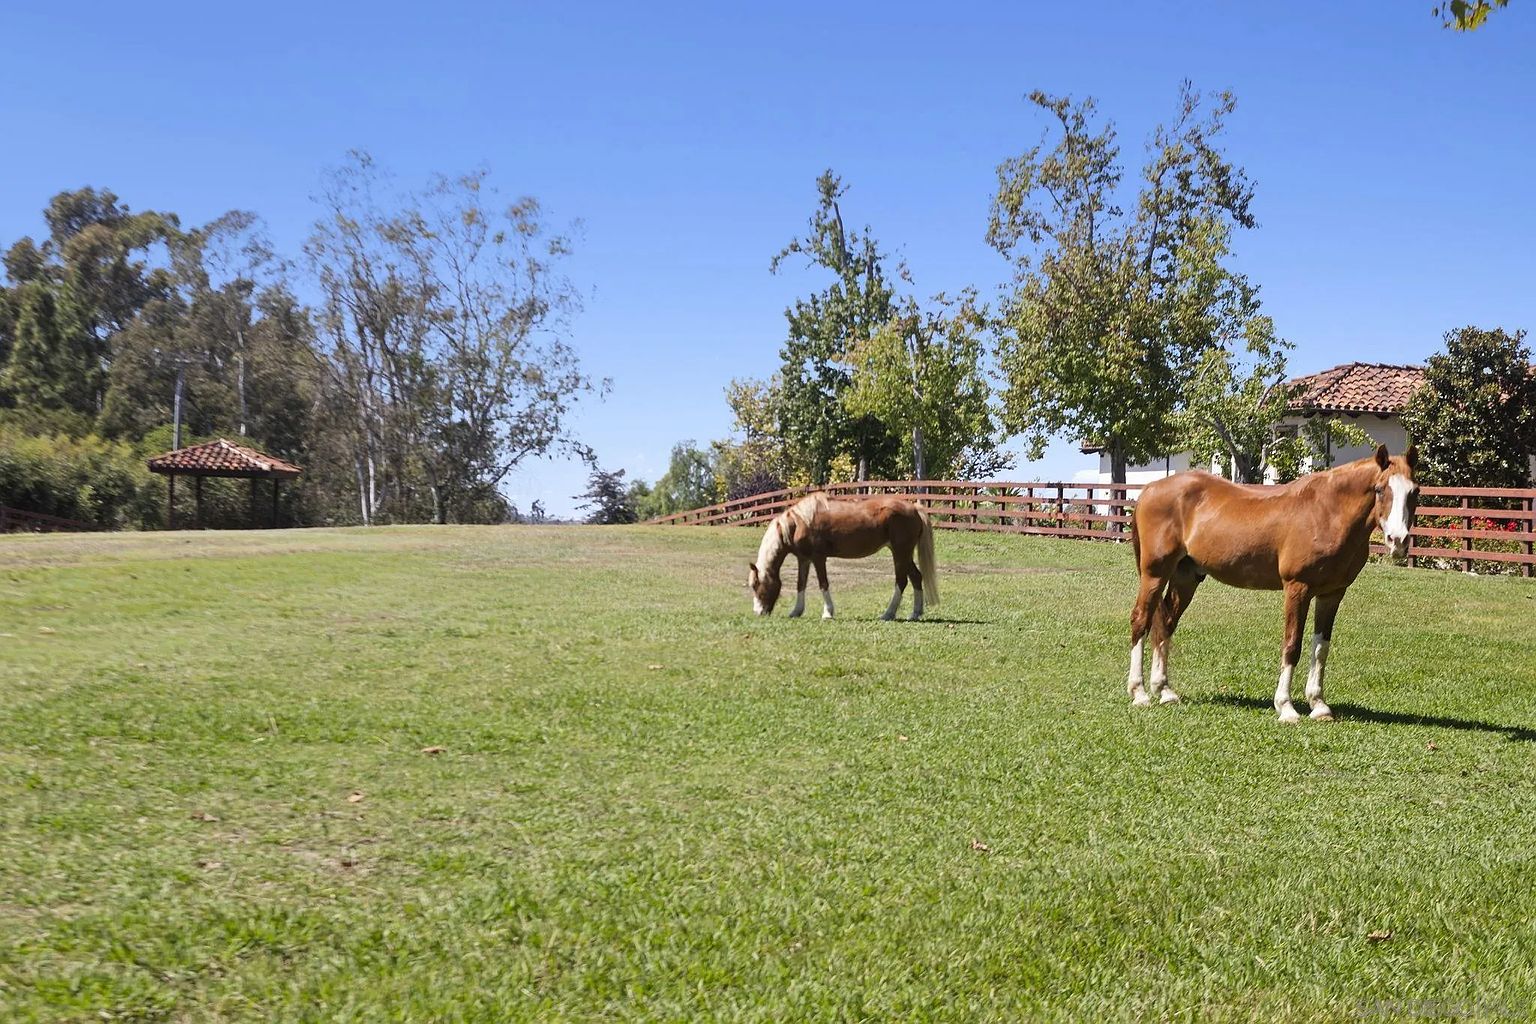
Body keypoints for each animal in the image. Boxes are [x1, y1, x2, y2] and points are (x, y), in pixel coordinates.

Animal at [747, 493, 939, 620]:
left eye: (756, 585)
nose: (758, 612)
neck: (799, 523)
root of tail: (914, 508)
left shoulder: (818, 558)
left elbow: (823, 583)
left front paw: (827, 613)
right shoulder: (804, 559)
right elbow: (800, 584)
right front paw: (796, 611)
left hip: (900, 552)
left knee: (902, 581)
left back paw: (888, 614)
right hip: (903, 554)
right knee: (916, 577)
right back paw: (915, 613)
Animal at [1126, 444, 1420, 722]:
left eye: (1415, 491)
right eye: (1380, 489)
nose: (1398, 540)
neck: (1327, 513)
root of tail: (1150, 489)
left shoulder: (1332, 594)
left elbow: (1320, 648)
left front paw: (1319, 706)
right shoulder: (1297, 588)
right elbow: (1292, 645)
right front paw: (1286, 707)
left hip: (1185, 577)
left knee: (1165, 622)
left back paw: (1164, 691)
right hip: (1155, 573)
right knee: (1141, 620)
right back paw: (1139, 693)